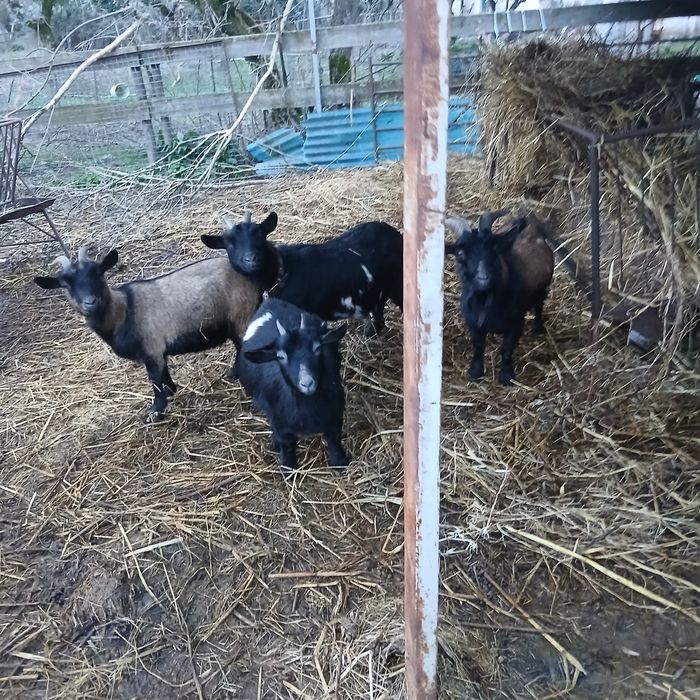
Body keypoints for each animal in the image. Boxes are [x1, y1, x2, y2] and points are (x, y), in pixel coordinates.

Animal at [34, 247, 260, 421]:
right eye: (65, 284)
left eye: (98, 273)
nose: (90, 302)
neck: (124, 311)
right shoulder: (157, 351)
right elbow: (163, 375)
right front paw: (171, 391)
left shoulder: (151, 348)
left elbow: (155, 379)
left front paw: (156, 411)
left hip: (242, 315)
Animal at [201, 211, 403, 337]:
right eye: (229, 243)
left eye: (260, 235)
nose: (251, 259)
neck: (283, 271)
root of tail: (395, 233)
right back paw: (371, 332)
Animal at [237, 298, 348, 476]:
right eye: (281, 356)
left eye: (317, 347)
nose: (307, 383)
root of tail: (271, 301)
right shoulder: (280, 421)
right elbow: (286, 444)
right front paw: (287, 469)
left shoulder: (335, 413)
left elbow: (334, 439)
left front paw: (340, 462)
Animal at [444, 210, 554, 385]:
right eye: (460, 253)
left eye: (494, 249)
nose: (483, 278)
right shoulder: (472, 323)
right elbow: (478, 345)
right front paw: (475, 371)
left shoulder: (515, 323)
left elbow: (507, 349)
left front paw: (506, 376)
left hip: (543, 287)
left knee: (539, 304)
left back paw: (538, 327)